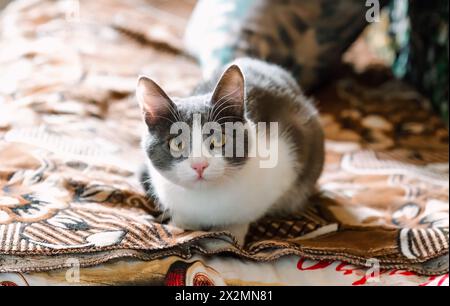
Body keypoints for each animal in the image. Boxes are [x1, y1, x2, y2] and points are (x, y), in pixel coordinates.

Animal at [137, 57, 324, 245]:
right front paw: (178, 227)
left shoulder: (286, 160)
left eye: (219, 139)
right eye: (176, 143)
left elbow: (240, 219)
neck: (204, 199)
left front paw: (231, 235)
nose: (199, 165)